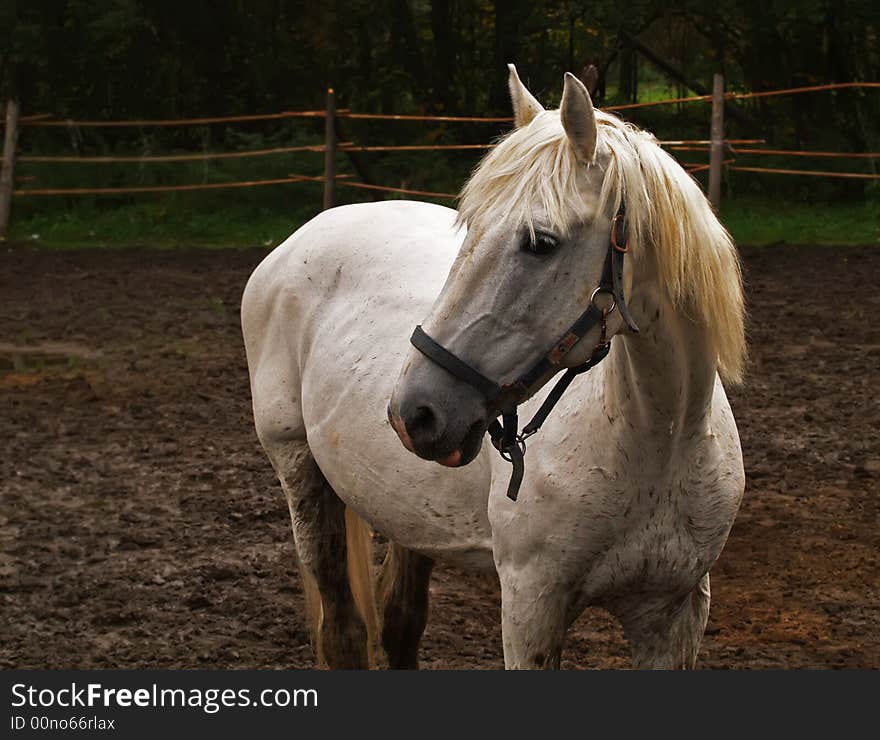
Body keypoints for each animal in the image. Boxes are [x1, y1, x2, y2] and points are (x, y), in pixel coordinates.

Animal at [244, 66, 744, 672]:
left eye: (541, 242)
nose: (415, 410)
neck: (657, 443)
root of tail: (302, 236)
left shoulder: (674, 614)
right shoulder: (531, 606)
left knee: (399, 624)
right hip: (299, 469)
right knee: (343, 632)